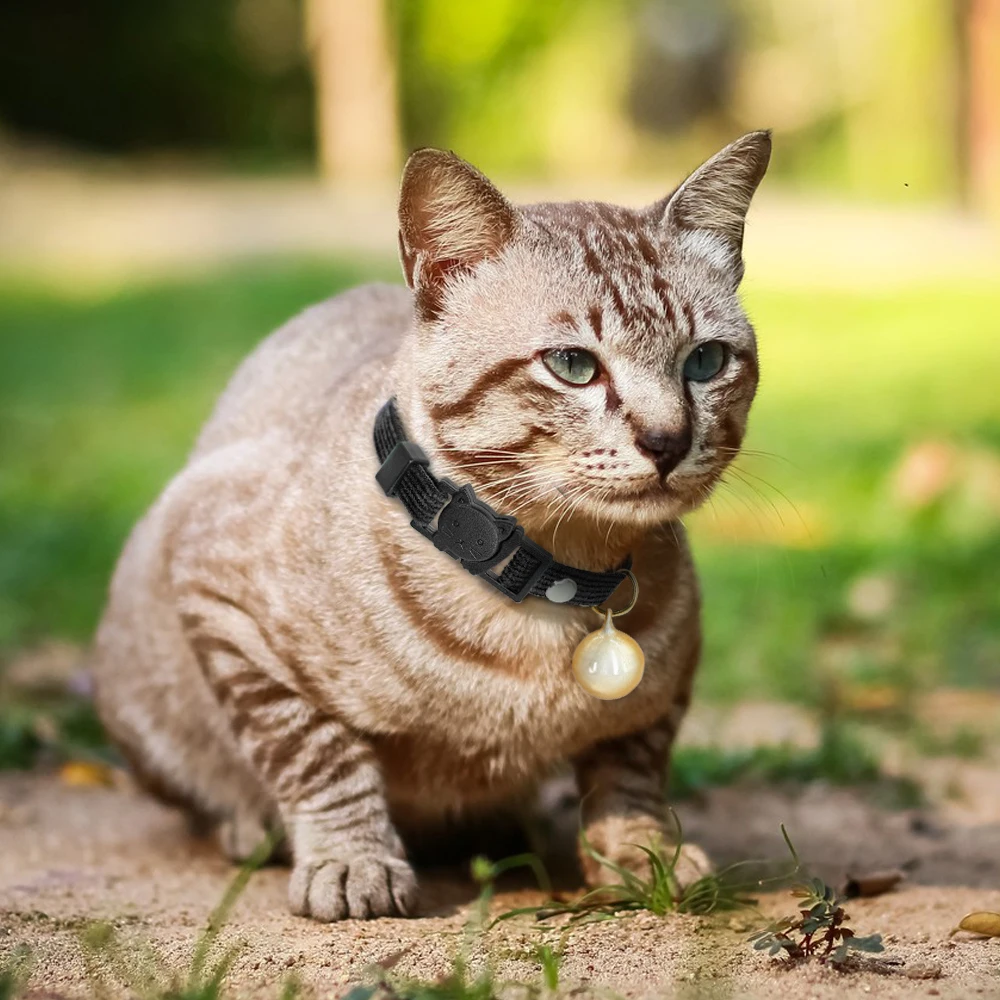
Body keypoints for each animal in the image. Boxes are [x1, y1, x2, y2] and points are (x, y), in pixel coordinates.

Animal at [90, 133, 768, 920]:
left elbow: (629, 770)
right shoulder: (216, 590)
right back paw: (251, 826)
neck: (554, 576)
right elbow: (316, 754)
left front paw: (642, 858)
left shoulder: (663, 688)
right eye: (572, 365)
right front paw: (351, 861)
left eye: (705, 362)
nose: (667, 442)